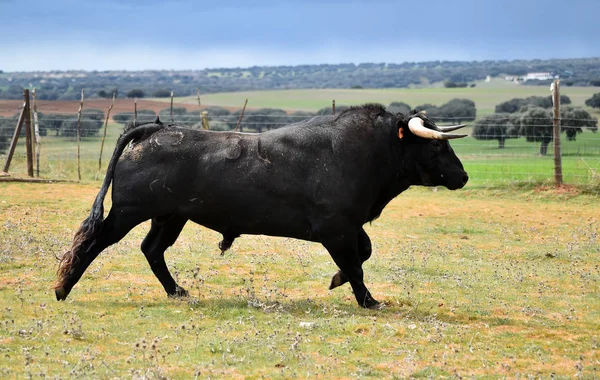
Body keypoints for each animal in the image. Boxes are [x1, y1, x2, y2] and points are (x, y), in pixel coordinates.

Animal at [55, 104, 468, 308]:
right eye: (435, 146)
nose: (463, 177)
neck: (359, 152)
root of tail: (155, 129)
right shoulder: (335, 228)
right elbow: (355, 263)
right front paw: (368, 300)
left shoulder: (348, 226)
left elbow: (363, 253)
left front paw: (338, 281)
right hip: (128, 213)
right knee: (92, 242)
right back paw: (63, 288)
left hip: (170, 216)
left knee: (152, 249)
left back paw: (176, 291)